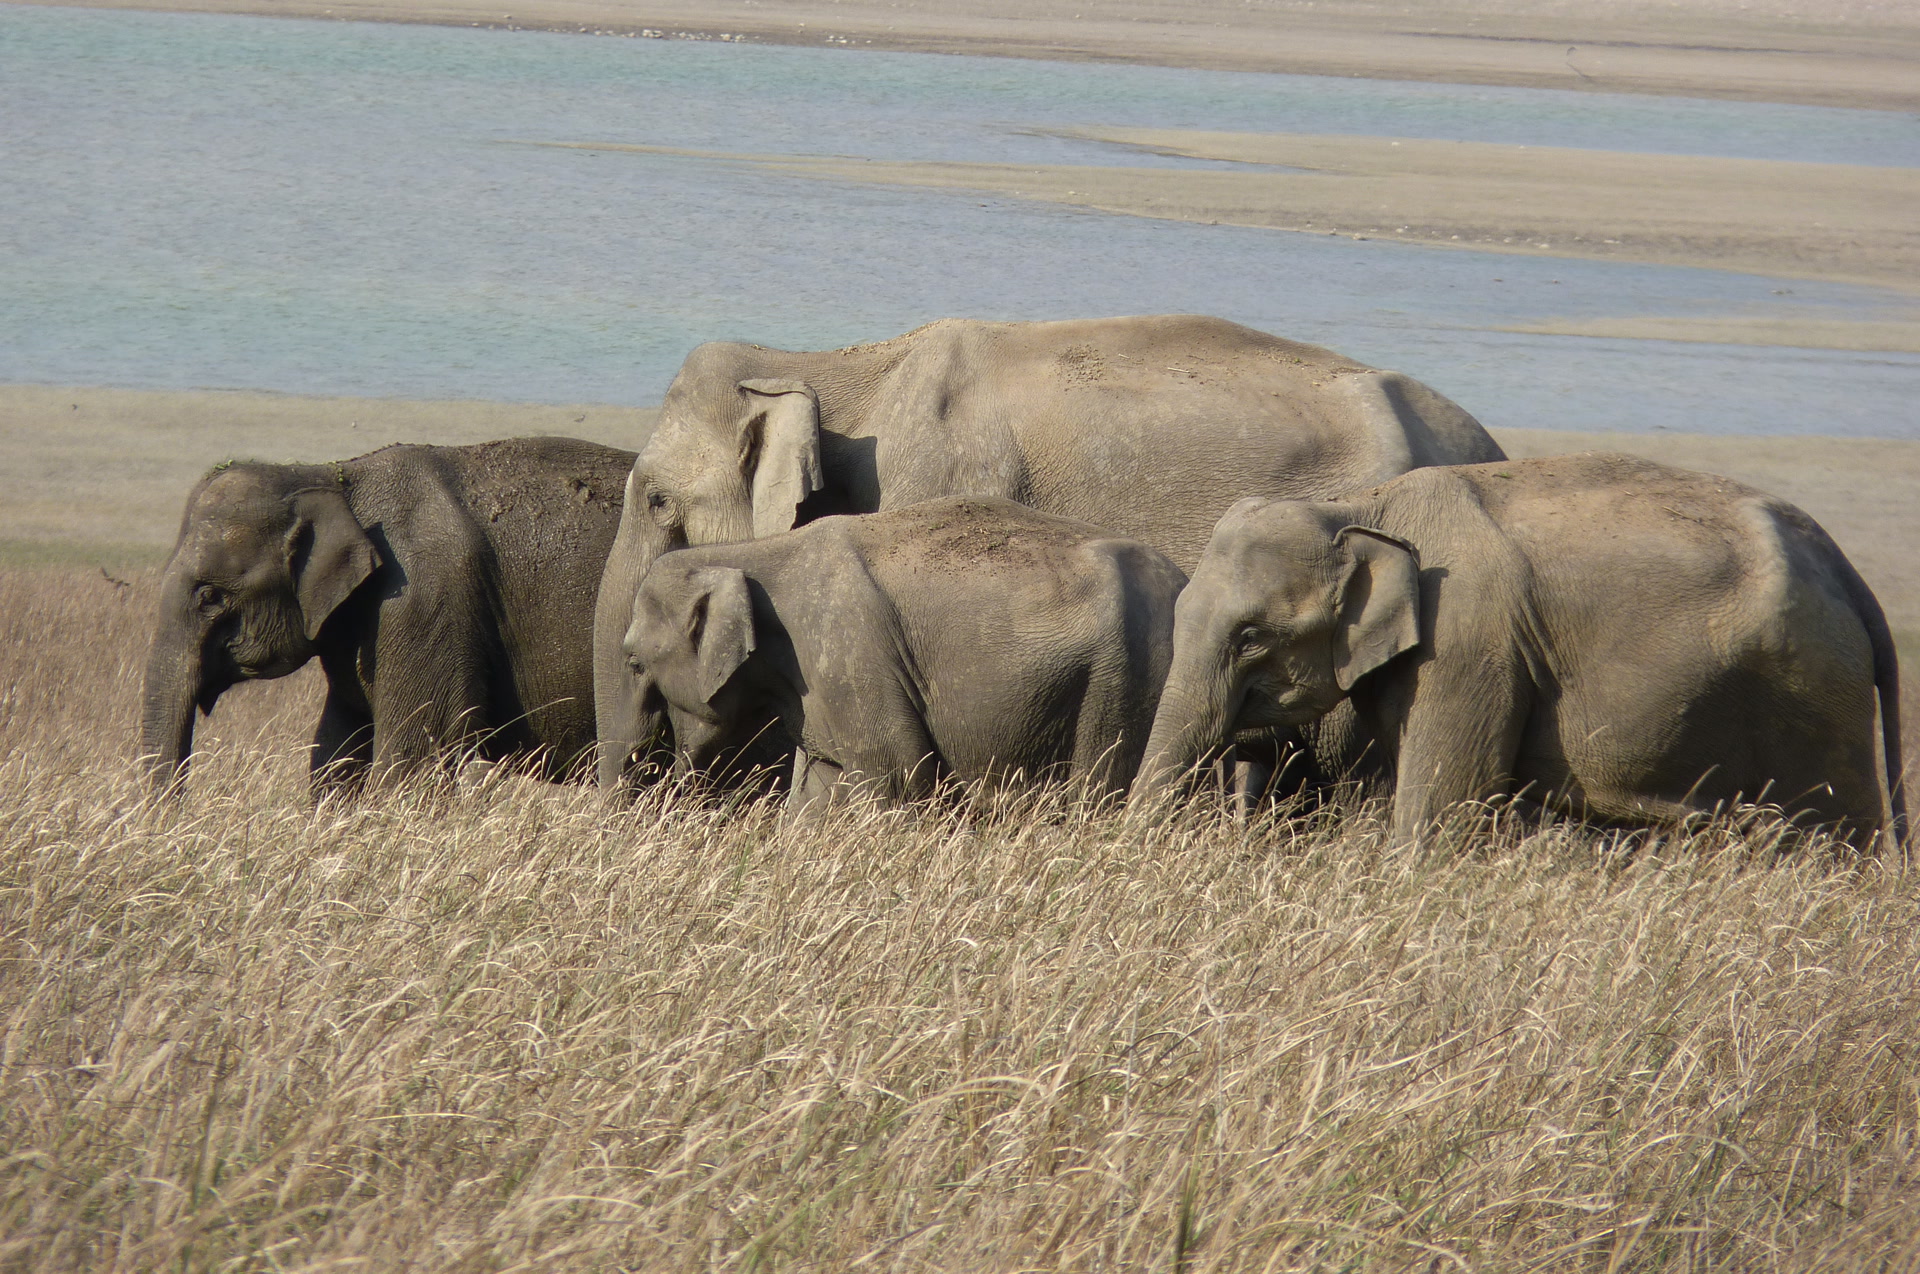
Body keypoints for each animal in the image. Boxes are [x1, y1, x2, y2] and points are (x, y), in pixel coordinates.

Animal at [621, 497, 1189, 812]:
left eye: (633, 662)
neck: (748, 551)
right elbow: (822, 790)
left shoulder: (849, 658)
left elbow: (897, 782)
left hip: (1124, 681)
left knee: (1099, 788)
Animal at [1132, 453, 1908, 849]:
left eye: (1251, 636)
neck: (1362, 503)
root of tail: (1850, 576)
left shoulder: (1468, 647)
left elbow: (1441, 810)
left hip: (1817, 704)